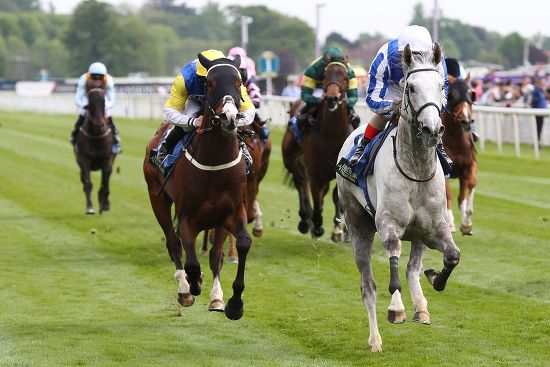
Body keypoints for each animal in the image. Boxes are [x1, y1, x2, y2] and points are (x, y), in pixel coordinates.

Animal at [73, 88, 116, 216]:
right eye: (90, 104)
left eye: (103, 102)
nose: (99, 125)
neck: (96, 135)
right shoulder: (84, 159)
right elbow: (87, 183)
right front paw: (90, 208)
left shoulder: (107, 158)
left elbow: (105, 181)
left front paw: (104, 204)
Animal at [144, 53, 252, 320]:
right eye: (210, 84)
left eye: (239, 82)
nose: (229, 117)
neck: (214, 162)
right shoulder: (187, 217)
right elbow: (191, 260)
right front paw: (193, 284)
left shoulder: (231, 212)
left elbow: (235, 247)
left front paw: (231, 302)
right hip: (157, 198)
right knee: (173, 243)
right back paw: (185, 289)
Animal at [282, 60, 356, 242]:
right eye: (325, 76)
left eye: (345, 77)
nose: (332, 98)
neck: (332, 134)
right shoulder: (316, 174)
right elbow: (316, 198)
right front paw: (317, 226)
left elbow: (336, 197)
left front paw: (339, 230)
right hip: (292, 161)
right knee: (301, 186)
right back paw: (305, 221)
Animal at [336, 44, 462, 352]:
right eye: (411, 87)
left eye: (441, 85)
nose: (432, 129)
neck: (416, 170)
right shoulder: (388, 226)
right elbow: (392, 273)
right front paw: (396, 308)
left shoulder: (434, 229)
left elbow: (452, 256)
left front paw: (435, 279)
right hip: (358, 225)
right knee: (368, 286)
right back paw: (376, 339)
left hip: (417, 234)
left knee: (412, 268)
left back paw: (421, 307)